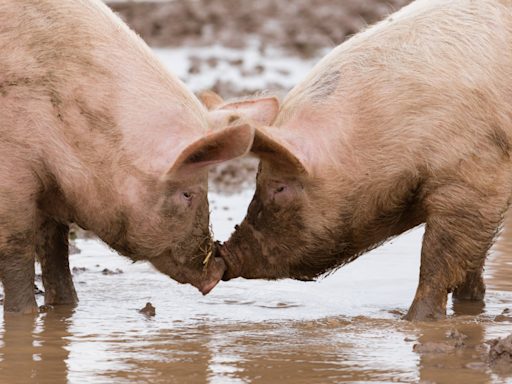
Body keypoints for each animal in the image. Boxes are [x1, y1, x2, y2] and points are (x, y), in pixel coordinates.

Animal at [0, 0, 255, 316]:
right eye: (187, 194)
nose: (217, 273)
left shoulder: (50, 181)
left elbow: (55, 248)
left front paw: (66, 307)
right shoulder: (13, 172)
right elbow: (17, 249)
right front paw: (24, 315)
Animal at [212, 0, 512, 320]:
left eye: (279, 187)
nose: (222, 251)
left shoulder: (475, 176)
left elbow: (438, 261)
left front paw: (415, 320)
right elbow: (471, 266)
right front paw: (471, 309)